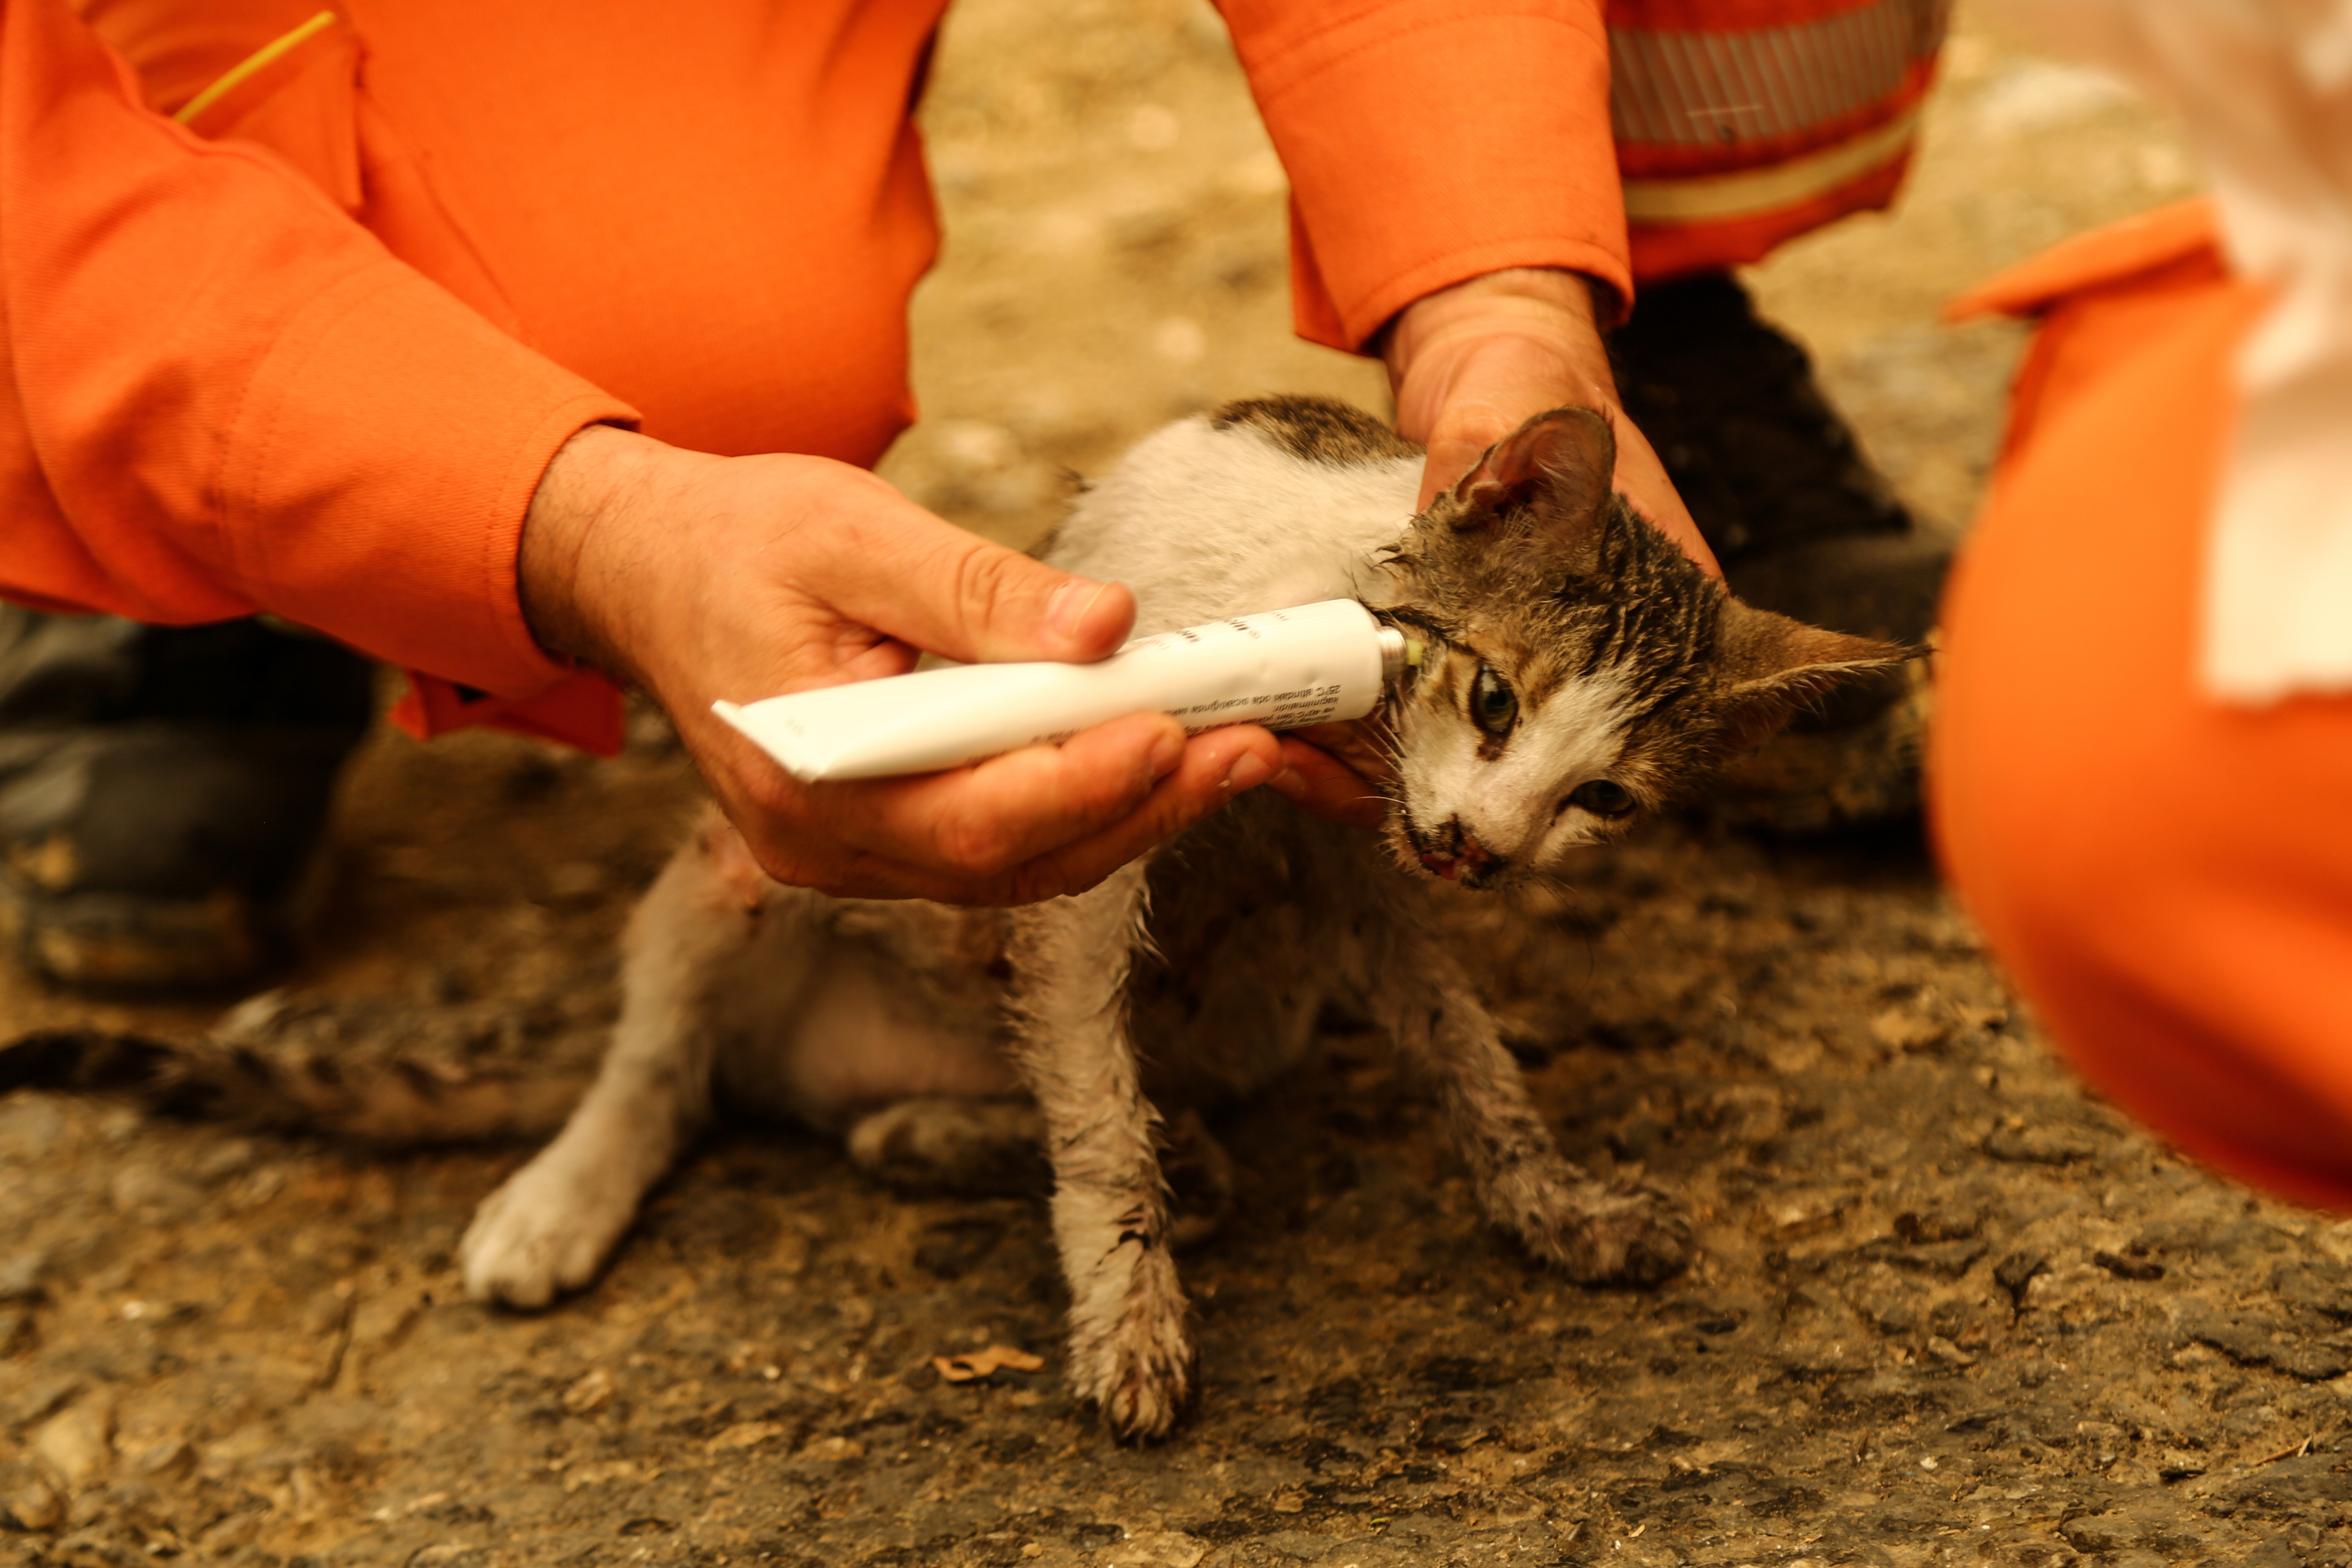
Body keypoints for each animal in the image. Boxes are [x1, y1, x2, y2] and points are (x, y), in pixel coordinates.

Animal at [444, 399, 1910, 1439]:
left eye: (1605, 795)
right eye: (1494, 699)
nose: (1483, 855)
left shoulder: (1365, 878)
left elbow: (1468, 1056)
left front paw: (1552, 1200)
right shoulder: (1083, 864)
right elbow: (1100, 1125)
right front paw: (1128, 1315)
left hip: (1251, 1009)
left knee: (963, 1111)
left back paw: (949, 1137)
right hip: (739, 865)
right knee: (666, 1064)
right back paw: (559, 1201)